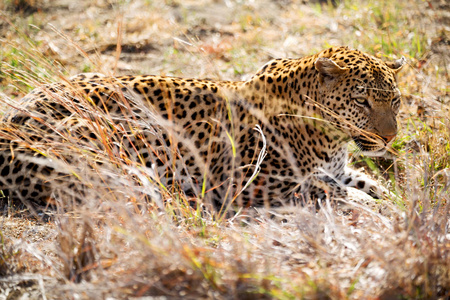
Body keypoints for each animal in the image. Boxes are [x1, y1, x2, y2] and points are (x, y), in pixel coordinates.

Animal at [0, 46, 406, 211]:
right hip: (126, 132)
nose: (389, 138)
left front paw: (390, 197)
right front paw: (368, 204)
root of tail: (9, 123)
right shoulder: (253, 181)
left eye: (396, 101)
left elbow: (365, 182)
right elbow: (328, 190)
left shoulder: (336, 169)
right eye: (362, 102)